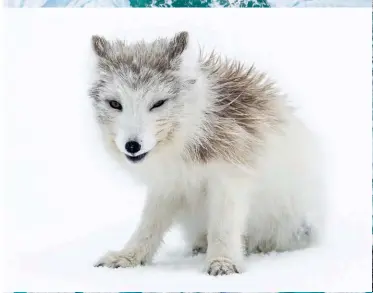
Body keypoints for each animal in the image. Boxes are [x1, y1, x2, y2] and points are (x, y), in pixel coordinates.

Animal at [88, 31, 322, 274]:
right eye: (115, 104)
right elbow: (148, 226)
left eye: (158, 103)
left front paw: (223, 262)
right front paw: (127, 257)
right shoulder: (168, 186)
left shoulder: (229, 179)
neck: (186, 140)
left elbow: (223, 227)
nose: (132, 145)